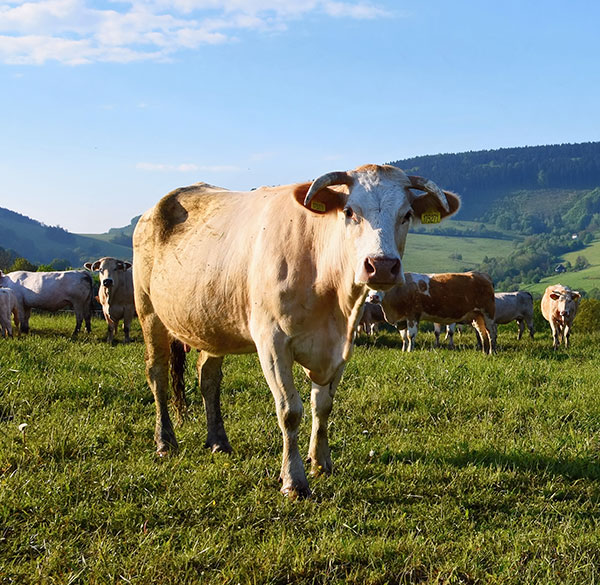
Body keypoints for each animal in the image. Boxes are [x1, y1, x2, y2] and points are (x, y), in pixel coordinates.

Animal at [131, 164, 460, 498]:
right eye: (349, 211)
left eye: (406, 214)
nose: (381, 265)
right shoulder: (272, 343)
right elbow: (290, 410)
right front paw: (294, 480)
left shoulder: (340, 347)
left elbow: (323, 406)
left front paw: (321, 463)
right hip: (149, 311)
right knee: (157, 375)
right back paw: (164, 441)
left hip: (212, 322)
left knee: (208, 378)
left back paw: (218, 441)